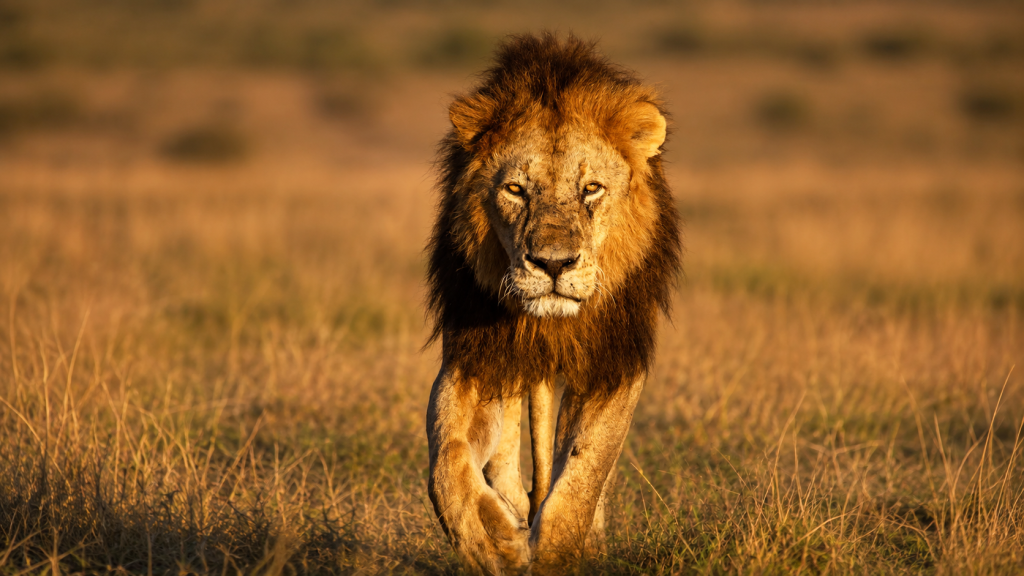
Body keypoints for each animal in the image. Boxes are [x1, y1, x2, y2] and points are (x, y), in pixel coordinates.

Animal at [425, 34, 681, 574]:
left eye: (592, 189)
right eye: (515, 190)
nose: (554, 264)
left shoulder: (612, 360)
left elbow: (585, 472)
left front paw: (559, 554)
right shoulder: (476, 355)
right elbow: (446, 461)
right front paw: (489, 540)